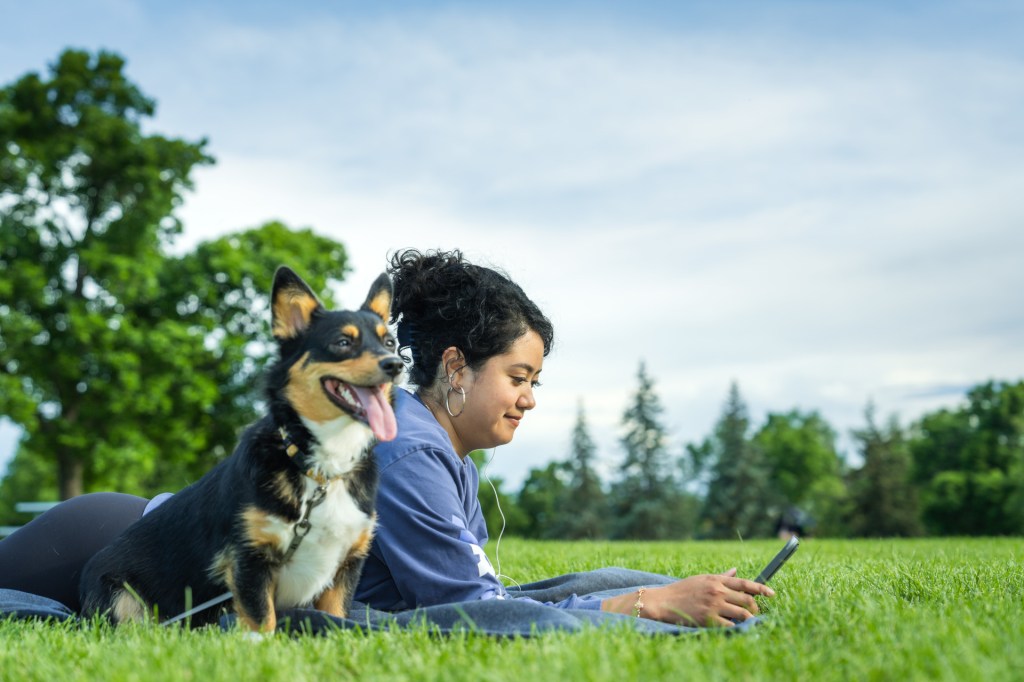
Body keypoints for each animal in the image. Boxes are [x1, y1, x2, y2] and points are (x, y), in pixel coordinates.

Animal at [79, 264, 401, 626]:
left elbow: (336, 619)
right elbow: (263, 622)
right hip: (122, 598)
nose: (395, 365)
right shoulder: (248, 559)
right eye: (343, 342)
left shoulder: (345, 567)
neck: (322, 469)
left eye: (389, 342)